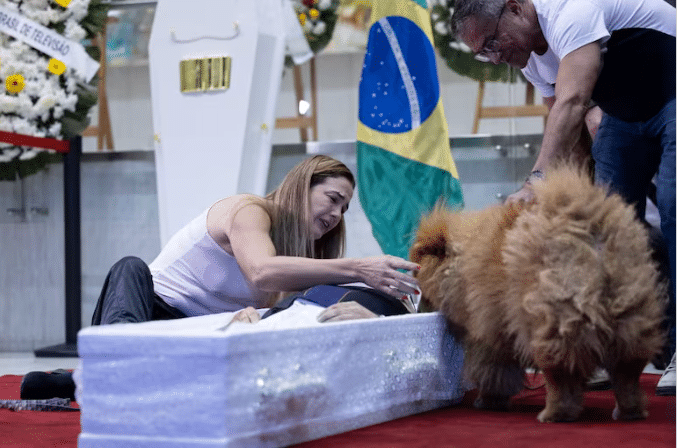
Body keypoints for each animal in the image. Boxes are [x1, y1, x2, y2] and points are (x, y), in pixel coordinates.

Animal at [412, 165, 668, 424]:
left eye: (419, 282)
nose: (418, 305)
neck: (461, 262)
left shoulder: (488, 332)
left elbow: (493, 372)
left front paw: (488, 401)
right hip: (630, 319)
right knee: (627, 375)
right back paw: (629, 412)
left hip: (553, 324)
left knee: (561, 376)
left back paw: (554, 414)